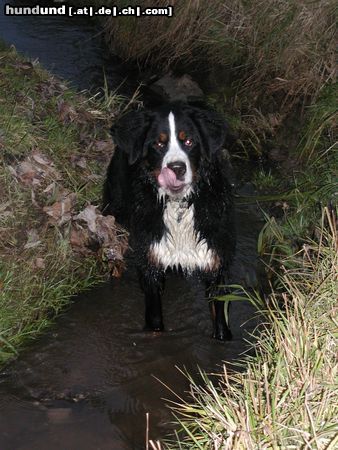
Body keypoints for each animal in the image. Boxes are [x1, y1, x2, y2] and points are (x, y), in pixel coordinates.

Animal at [103, 103, 235, 342]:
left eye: (189, 141)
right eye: (158, 143)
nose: (177, 168)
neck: (179, 204)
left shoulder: (216, 263)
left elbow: (220, 319)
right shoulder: (152, 260)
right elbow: (155, 318)